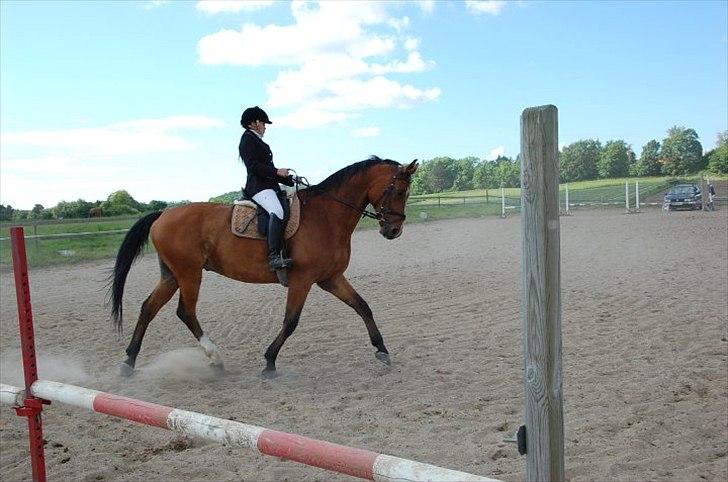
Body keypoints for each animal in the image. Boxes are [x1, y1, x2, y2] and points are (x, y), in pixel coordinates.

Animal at [110, 156, 418, 378]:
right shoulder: (303, 280)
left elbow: (362, 306)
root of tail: (164, 213)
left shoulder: (331, 278)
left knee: (149, 308)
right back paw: (215, 358)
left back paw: (129, 362)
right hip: (189, 274)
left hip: (172, 275)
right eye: (400, 190)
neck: (327, 216)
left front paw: (382, 350)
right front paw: (269, 362)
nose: (394, 230)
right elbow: (291, 321)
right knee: (185, 312)